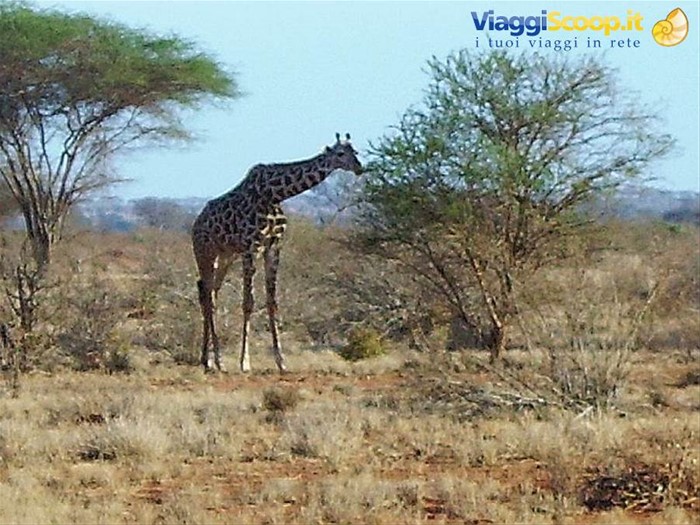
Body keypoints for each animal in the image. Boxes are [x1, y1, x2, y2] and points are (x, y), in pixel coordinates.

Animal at [192, 133, 363, 373]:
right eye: (340, 154)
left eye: (354, 152)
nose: (359, 168)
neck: (274, 195)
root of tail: (196, 223)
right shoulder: (251, 247)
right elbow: (248, 302)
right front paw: (244, 362)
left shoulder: (273, 247)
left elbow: (272, 301)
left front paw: (281, 361)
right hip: (205, 252)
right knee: (206, 295)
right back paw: (213, 360)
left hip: (226, 256)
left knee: (211, 293)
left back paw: (210, 359)